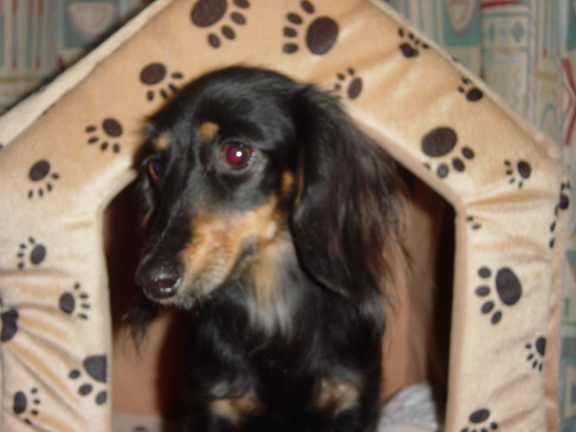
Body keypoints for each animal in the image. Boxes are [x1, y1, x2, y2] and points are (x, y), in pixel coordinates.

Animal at [134, 66, 404, 432]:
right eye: (156, 167)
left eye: (236, 153)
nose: (152, 280)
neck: (272, 304)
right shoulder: (212, 404)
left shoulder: (352, 398)